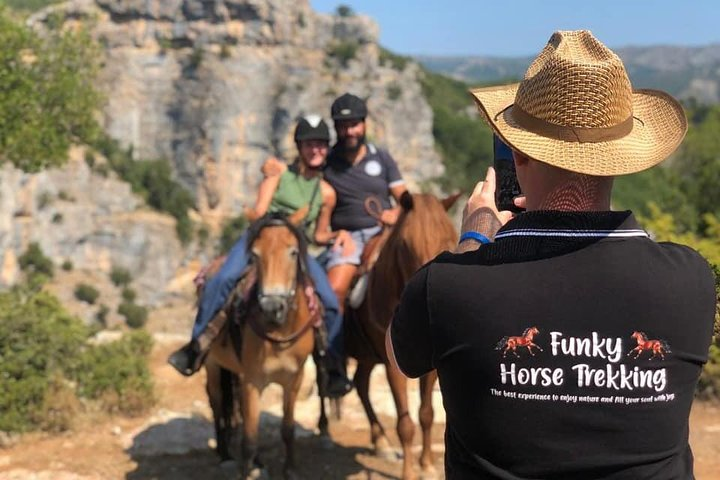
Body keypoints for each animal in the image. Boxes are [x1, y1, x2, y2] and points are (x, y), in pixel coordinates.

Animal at [202, 210, 316, 480]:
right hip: (213, 364)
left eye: (293, 252)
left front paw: (290, 470)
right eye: (254, 255)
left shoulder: (293, 380)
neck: (280, 333)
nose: (272, 306)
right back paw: (224, 454)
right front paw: (245, 470)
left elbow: (288, 429)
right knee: (217, 402)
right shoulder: (252, 380)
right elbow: (249, 439)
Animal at [346, 192, 458, 480]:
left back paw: (380, 442)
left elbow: (427, 413)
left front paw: (427, 464)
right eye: (406, 245)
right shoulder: (392, 366)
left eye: (450, 239)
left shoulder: (430, 367)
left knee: (361, 383)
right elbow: (405, 423)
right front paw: (409, 472)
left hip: (367, 357)